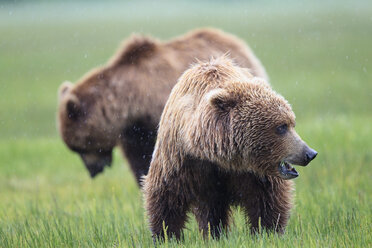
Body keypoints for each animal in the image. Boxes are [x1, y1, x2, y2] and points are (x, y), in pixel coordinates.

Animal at [57, 28, 268, 184]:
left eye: (80, 146)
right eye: (75, 148)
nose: (94, 170)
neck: (132, 103)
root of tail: (234, 40)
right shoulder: (132, 131)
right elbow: (138, 160)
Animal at [142, 56, 316, 240]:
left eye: (291, 123)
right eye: (281, 127)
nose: (309, 153)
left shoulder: (253, 174)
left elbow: (268, 200)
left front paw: (267, 232)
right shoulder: (181, 159)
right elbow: (166, 197)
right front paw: (166, 236)